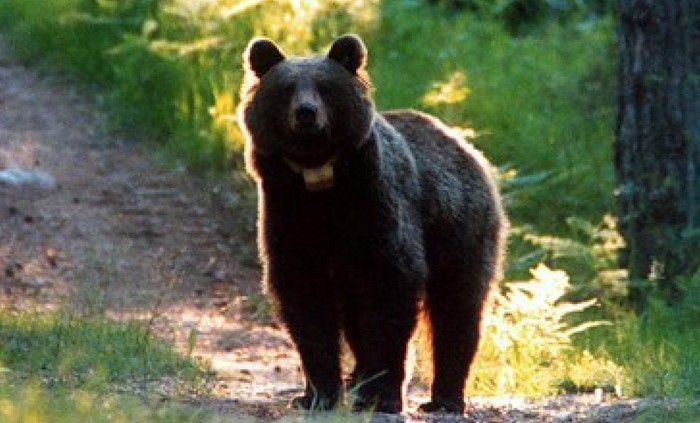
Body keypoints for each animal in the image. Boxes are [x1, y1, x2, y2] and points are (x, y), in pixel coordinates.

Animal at [237, 34, 506, 414]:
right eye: (287, 88)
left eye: (325, 87)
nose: (306, 113)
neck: (320, 182)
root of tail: (465, 146)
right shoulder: (290, 215)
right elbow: (305, 303)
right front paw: (316, 394)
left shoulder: (376, 210)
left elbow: (390, 293)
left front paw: (382, 396)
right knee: (355, 318)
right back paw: (356, 379)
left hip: (460, 229)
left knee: (458, 308)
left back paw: (445, 398)